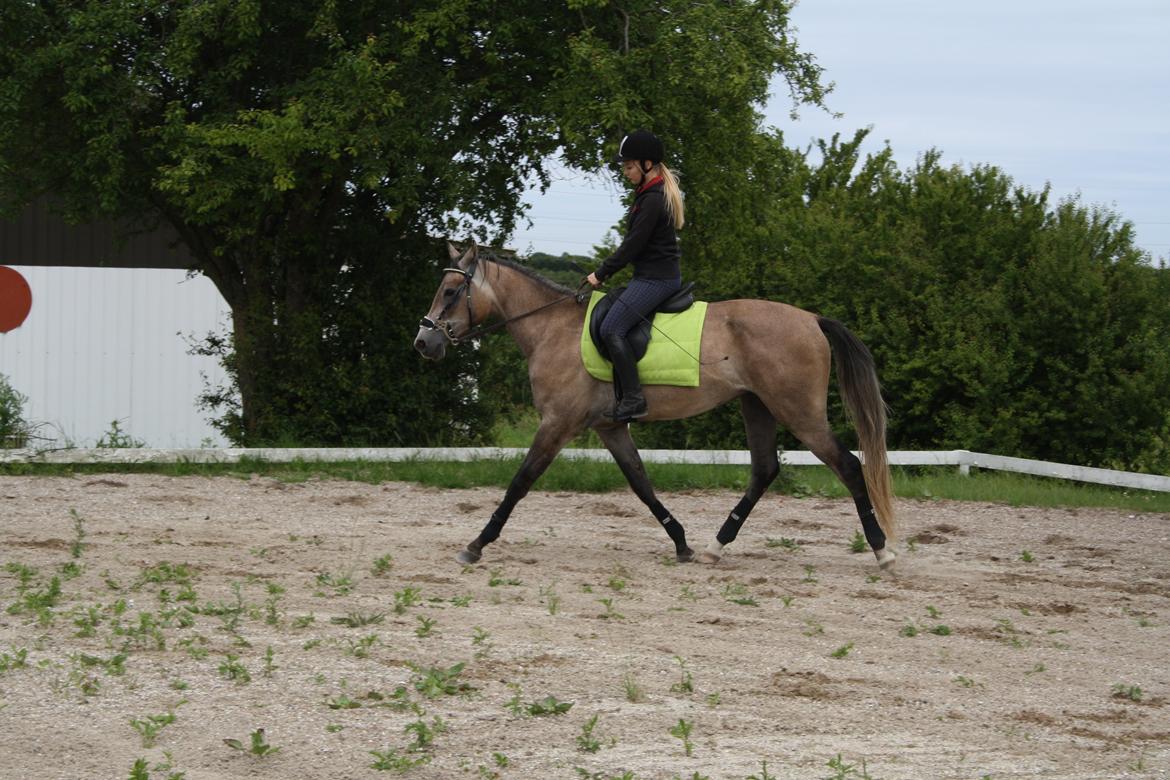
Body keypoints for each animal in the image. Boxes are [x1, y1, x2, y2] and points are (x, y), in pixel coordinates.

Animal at [416, 240, 898, 570]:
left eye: (451, 291)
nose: (424, 343)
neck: (552, 327)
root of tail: (812, 319)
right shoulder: (610, 427)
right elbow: (641, 483)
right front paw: (681, 542)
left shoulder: (557, 423)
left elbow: (520, 481)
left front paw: (476, 544)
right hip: (757, 406)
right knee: (764, 470)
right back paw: (716, 545)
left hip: (798, 412)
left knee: (848, 465)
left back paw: (881, 551)